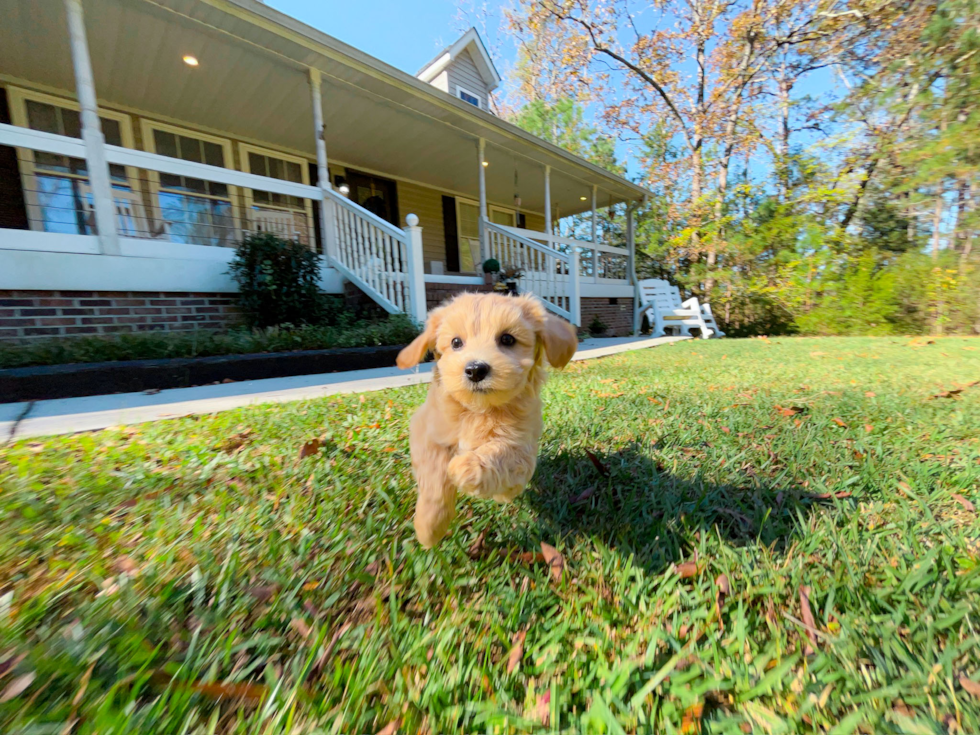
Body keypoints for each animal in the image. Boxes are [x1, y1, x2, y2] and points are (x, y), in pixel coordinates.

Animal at [394, 292, 580, 548]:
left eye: (507, 339)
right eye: (456, 343)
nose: (475, 370)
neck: (478, 409)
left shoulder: (522, 447)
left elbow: (501, 453)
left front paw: (466, 467)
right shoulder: (425, 430)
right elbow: (434, 477)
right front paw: (429, 527)